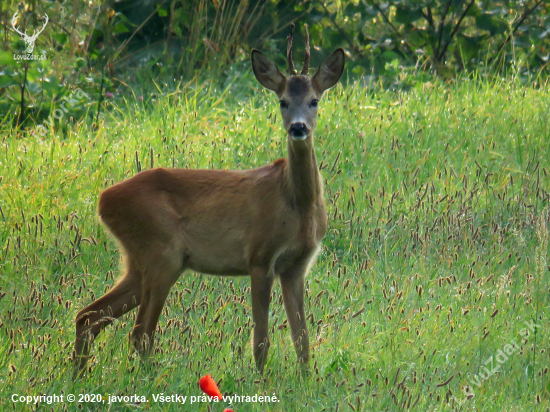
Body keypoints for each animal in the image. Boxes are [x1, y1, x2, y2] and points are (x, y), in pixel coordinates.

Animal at [75, 25, 344, 374]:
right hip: (162, 252)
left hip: (138, 260)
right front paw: (261, 380)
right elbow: (261, 341)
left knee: (88, 316)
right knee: (139, 333)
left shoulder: (296, 265)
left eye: (314, 101)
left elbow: (303, 340)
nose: (298, 128)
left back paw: (78, 376)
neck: (298, 204)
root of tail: (103, 200)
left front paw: (306, 379)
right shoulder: (259, 256)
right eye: (283, 102)